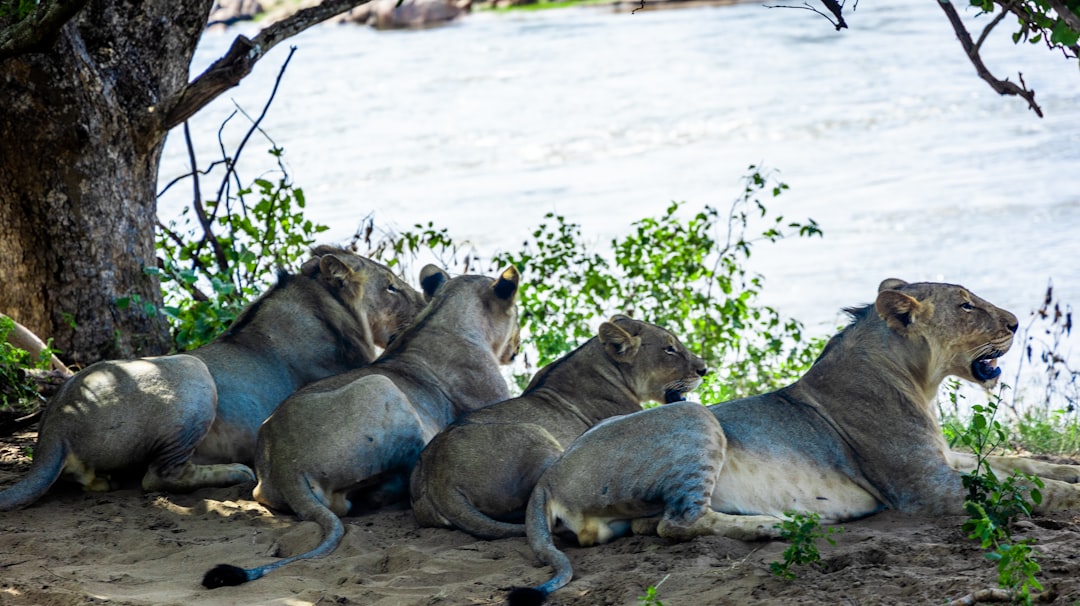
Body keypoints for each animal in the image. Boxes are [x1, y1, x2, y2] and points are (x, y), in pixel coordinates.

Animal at [0, 246, 425, 510]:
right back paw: (234, 471)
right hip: (192, 371)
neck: (325, 303)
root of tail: (55, 423)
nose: (424, 301)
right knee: (157, 477)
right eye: (391, 286)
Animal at [508, 279, 1080, 604]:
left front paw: (1070, 471)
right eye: (965, 306)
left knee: (658, 524)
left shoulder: (945, 458)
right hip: (695, 417)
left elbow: (1024, 468)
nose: (1015, 322)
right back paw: (777, 525)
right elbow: (1026, 488)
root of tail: (549, 477)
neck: (918, 379)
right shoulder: (928, 488)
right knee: (679, 522)